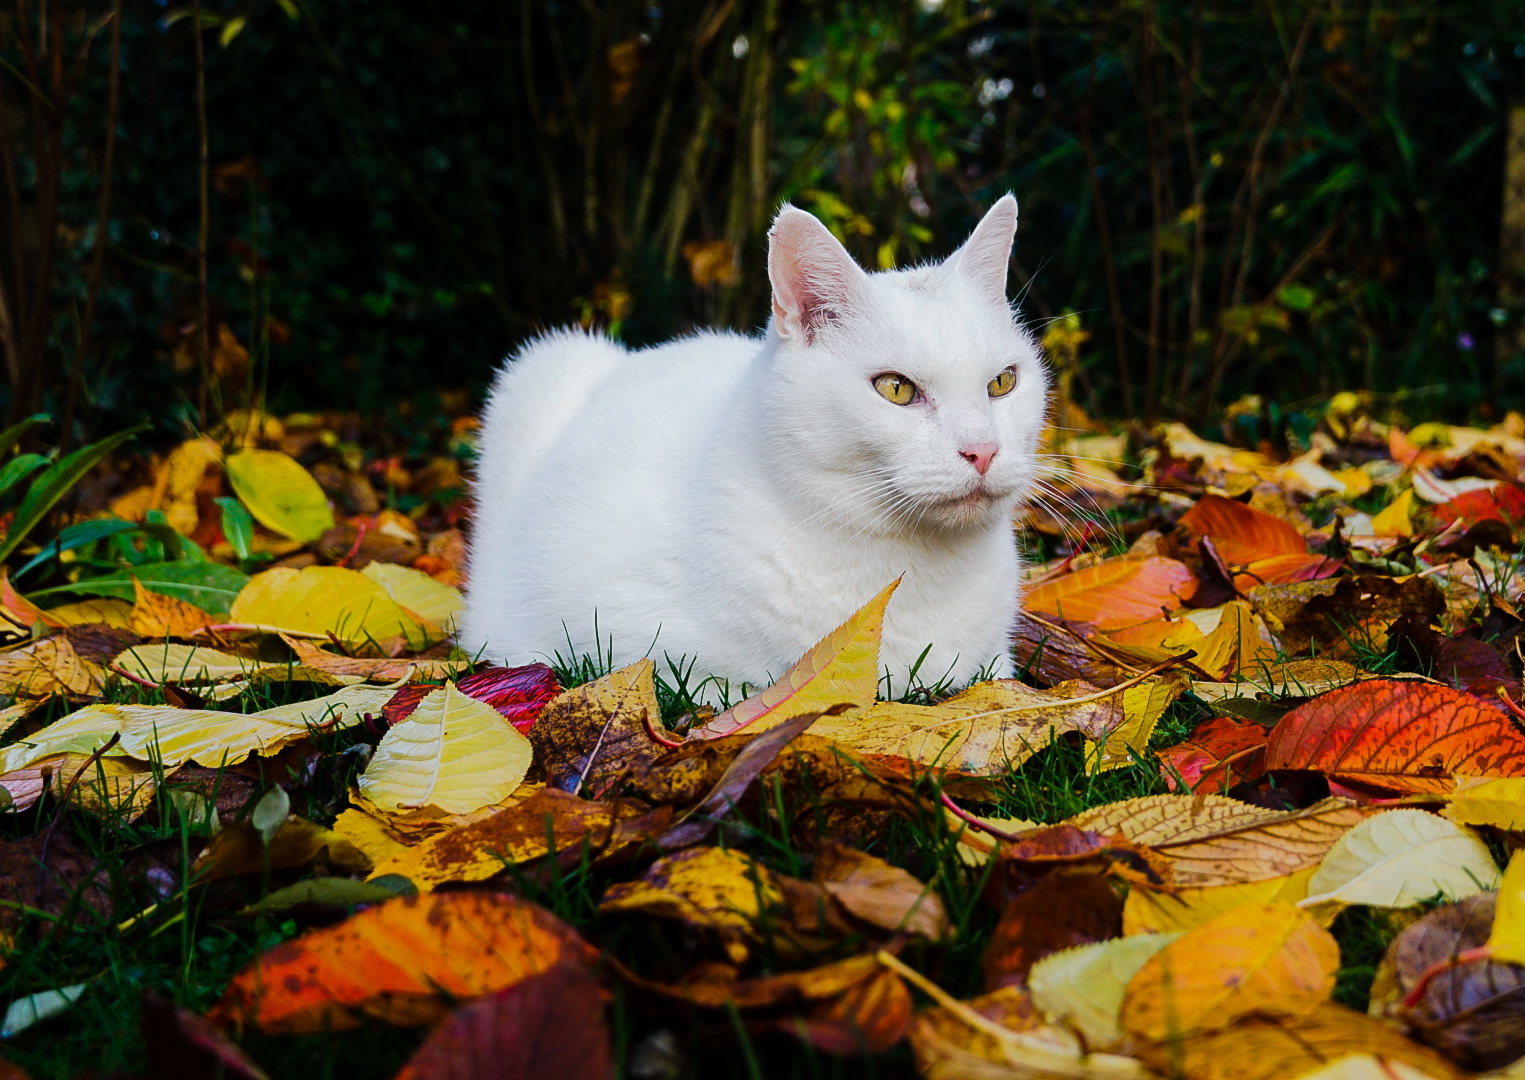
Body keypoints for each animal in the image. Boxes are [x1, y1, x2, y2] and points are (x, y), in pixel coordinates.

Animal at [460, 195, 1049, 695]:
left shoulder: (993, 666)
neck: (911, 573)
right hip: (542, 359)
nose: (983, 450)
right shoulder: (646, 660)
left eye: (1002, 382)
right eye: (896, 389)